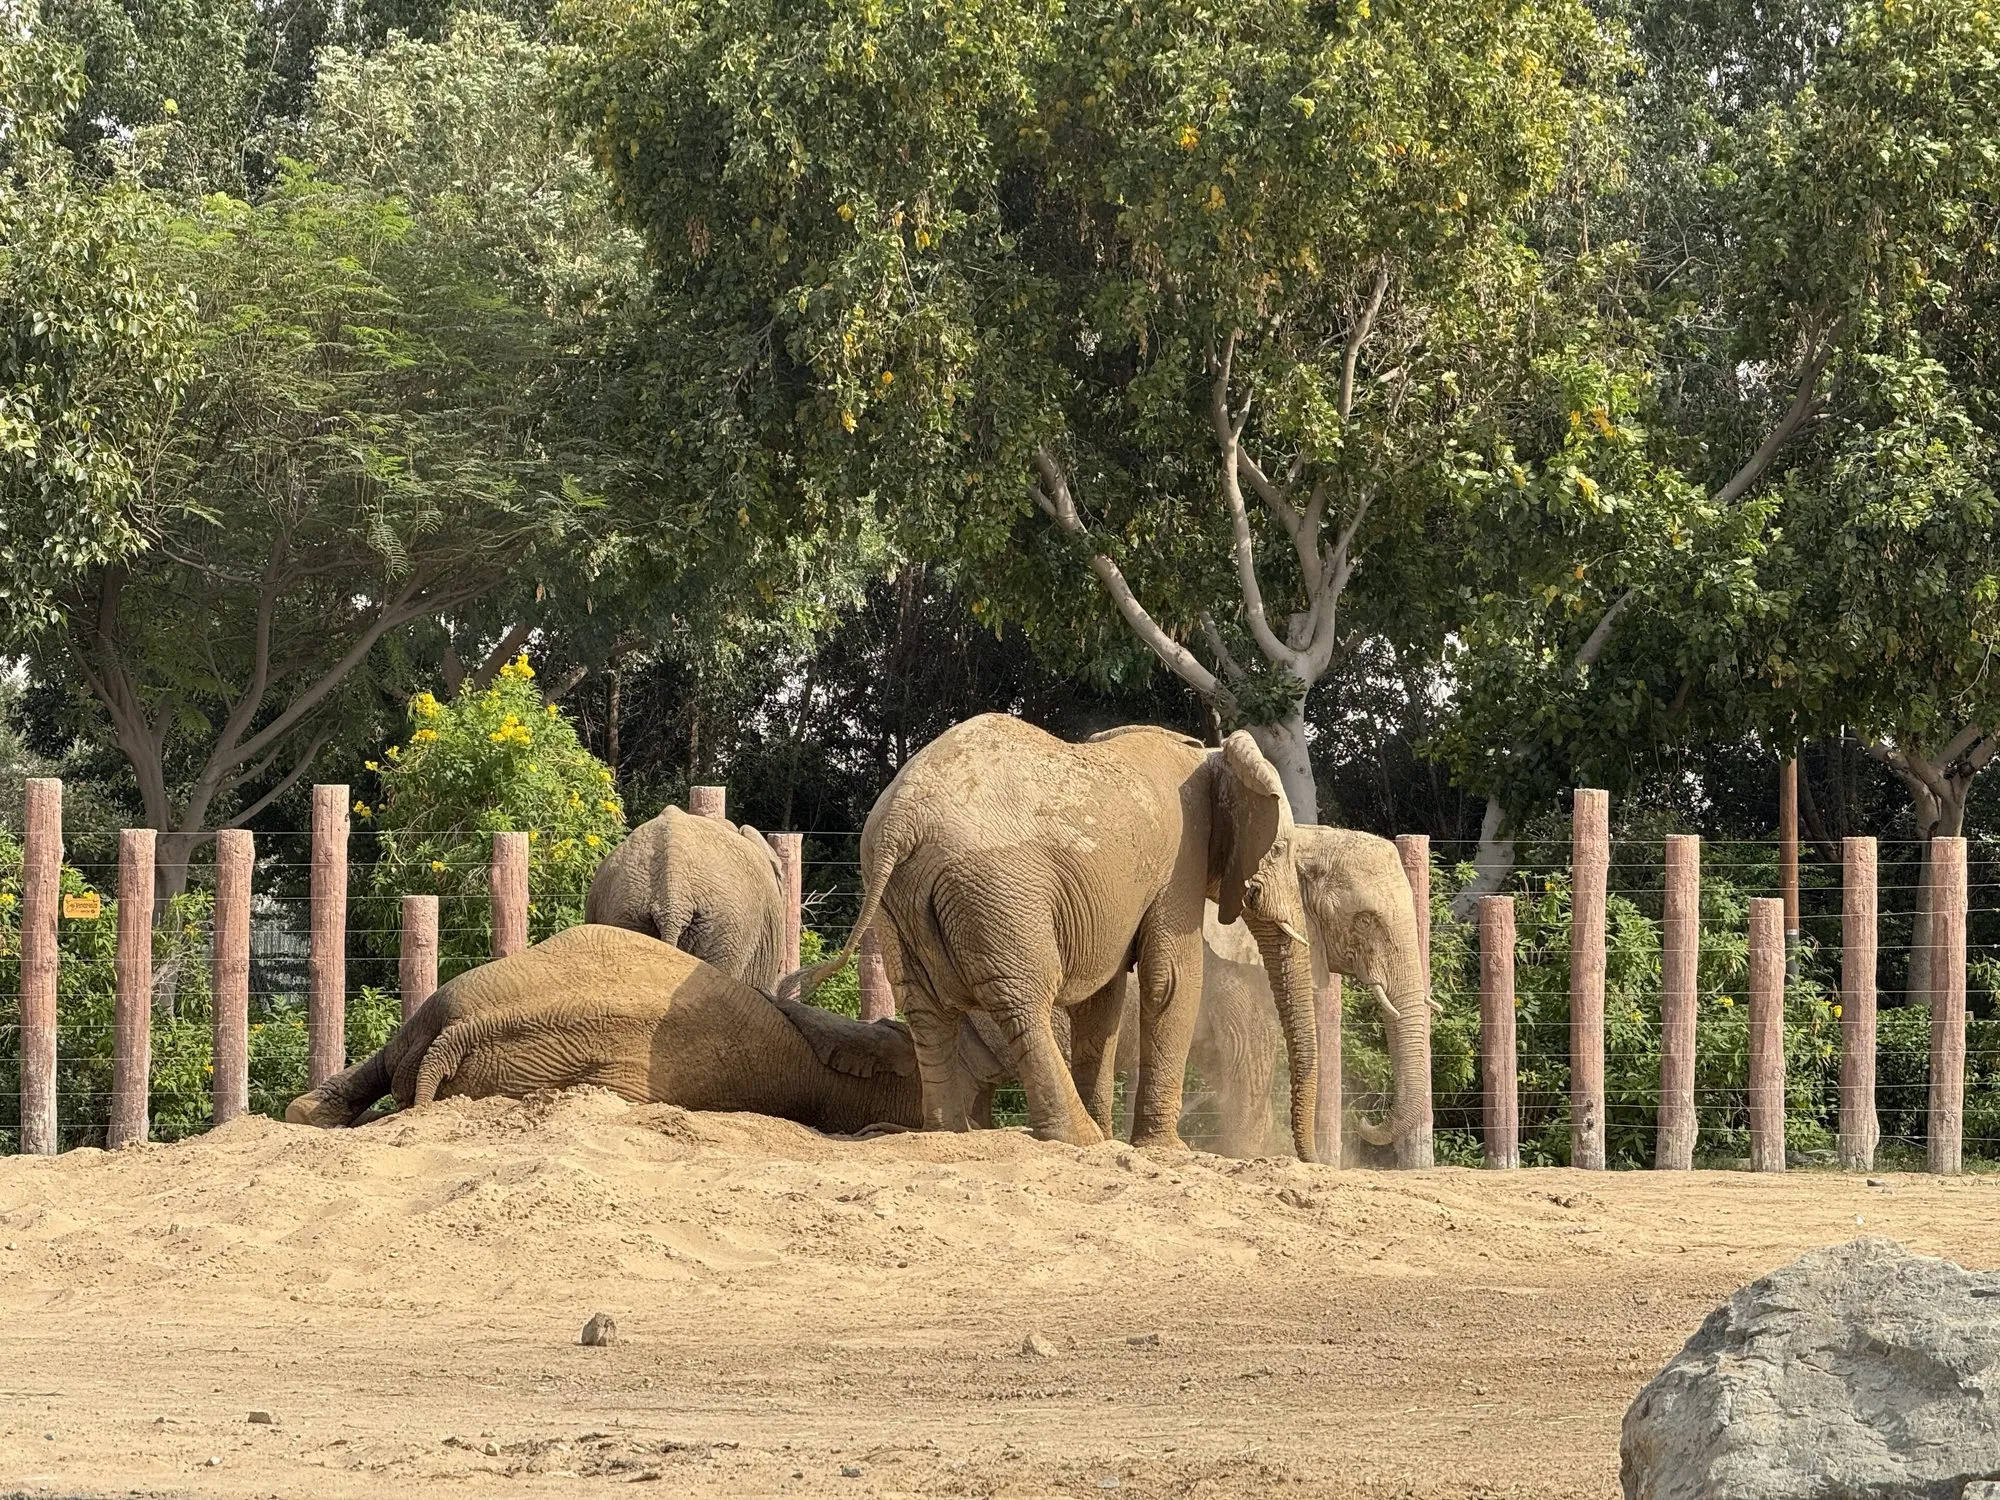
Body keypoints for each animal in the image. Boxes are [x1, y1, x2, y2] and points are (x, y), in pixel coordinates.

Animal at [787, 714, 1322, 1159]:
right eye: (1278, 850)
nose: (1309, 1158)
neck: (1211, 754)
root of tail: (899, 820)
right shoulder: (1179, 866)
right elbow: (1169, 980)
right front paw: (1164, 1150)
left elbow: (1102, 999)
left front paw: (1117, 1138)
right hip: (998, 891)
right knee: (1023, 1001)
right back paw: (1076, 1138)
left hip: (902, 900)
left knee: (924, 1007)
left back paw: (950, 1135)